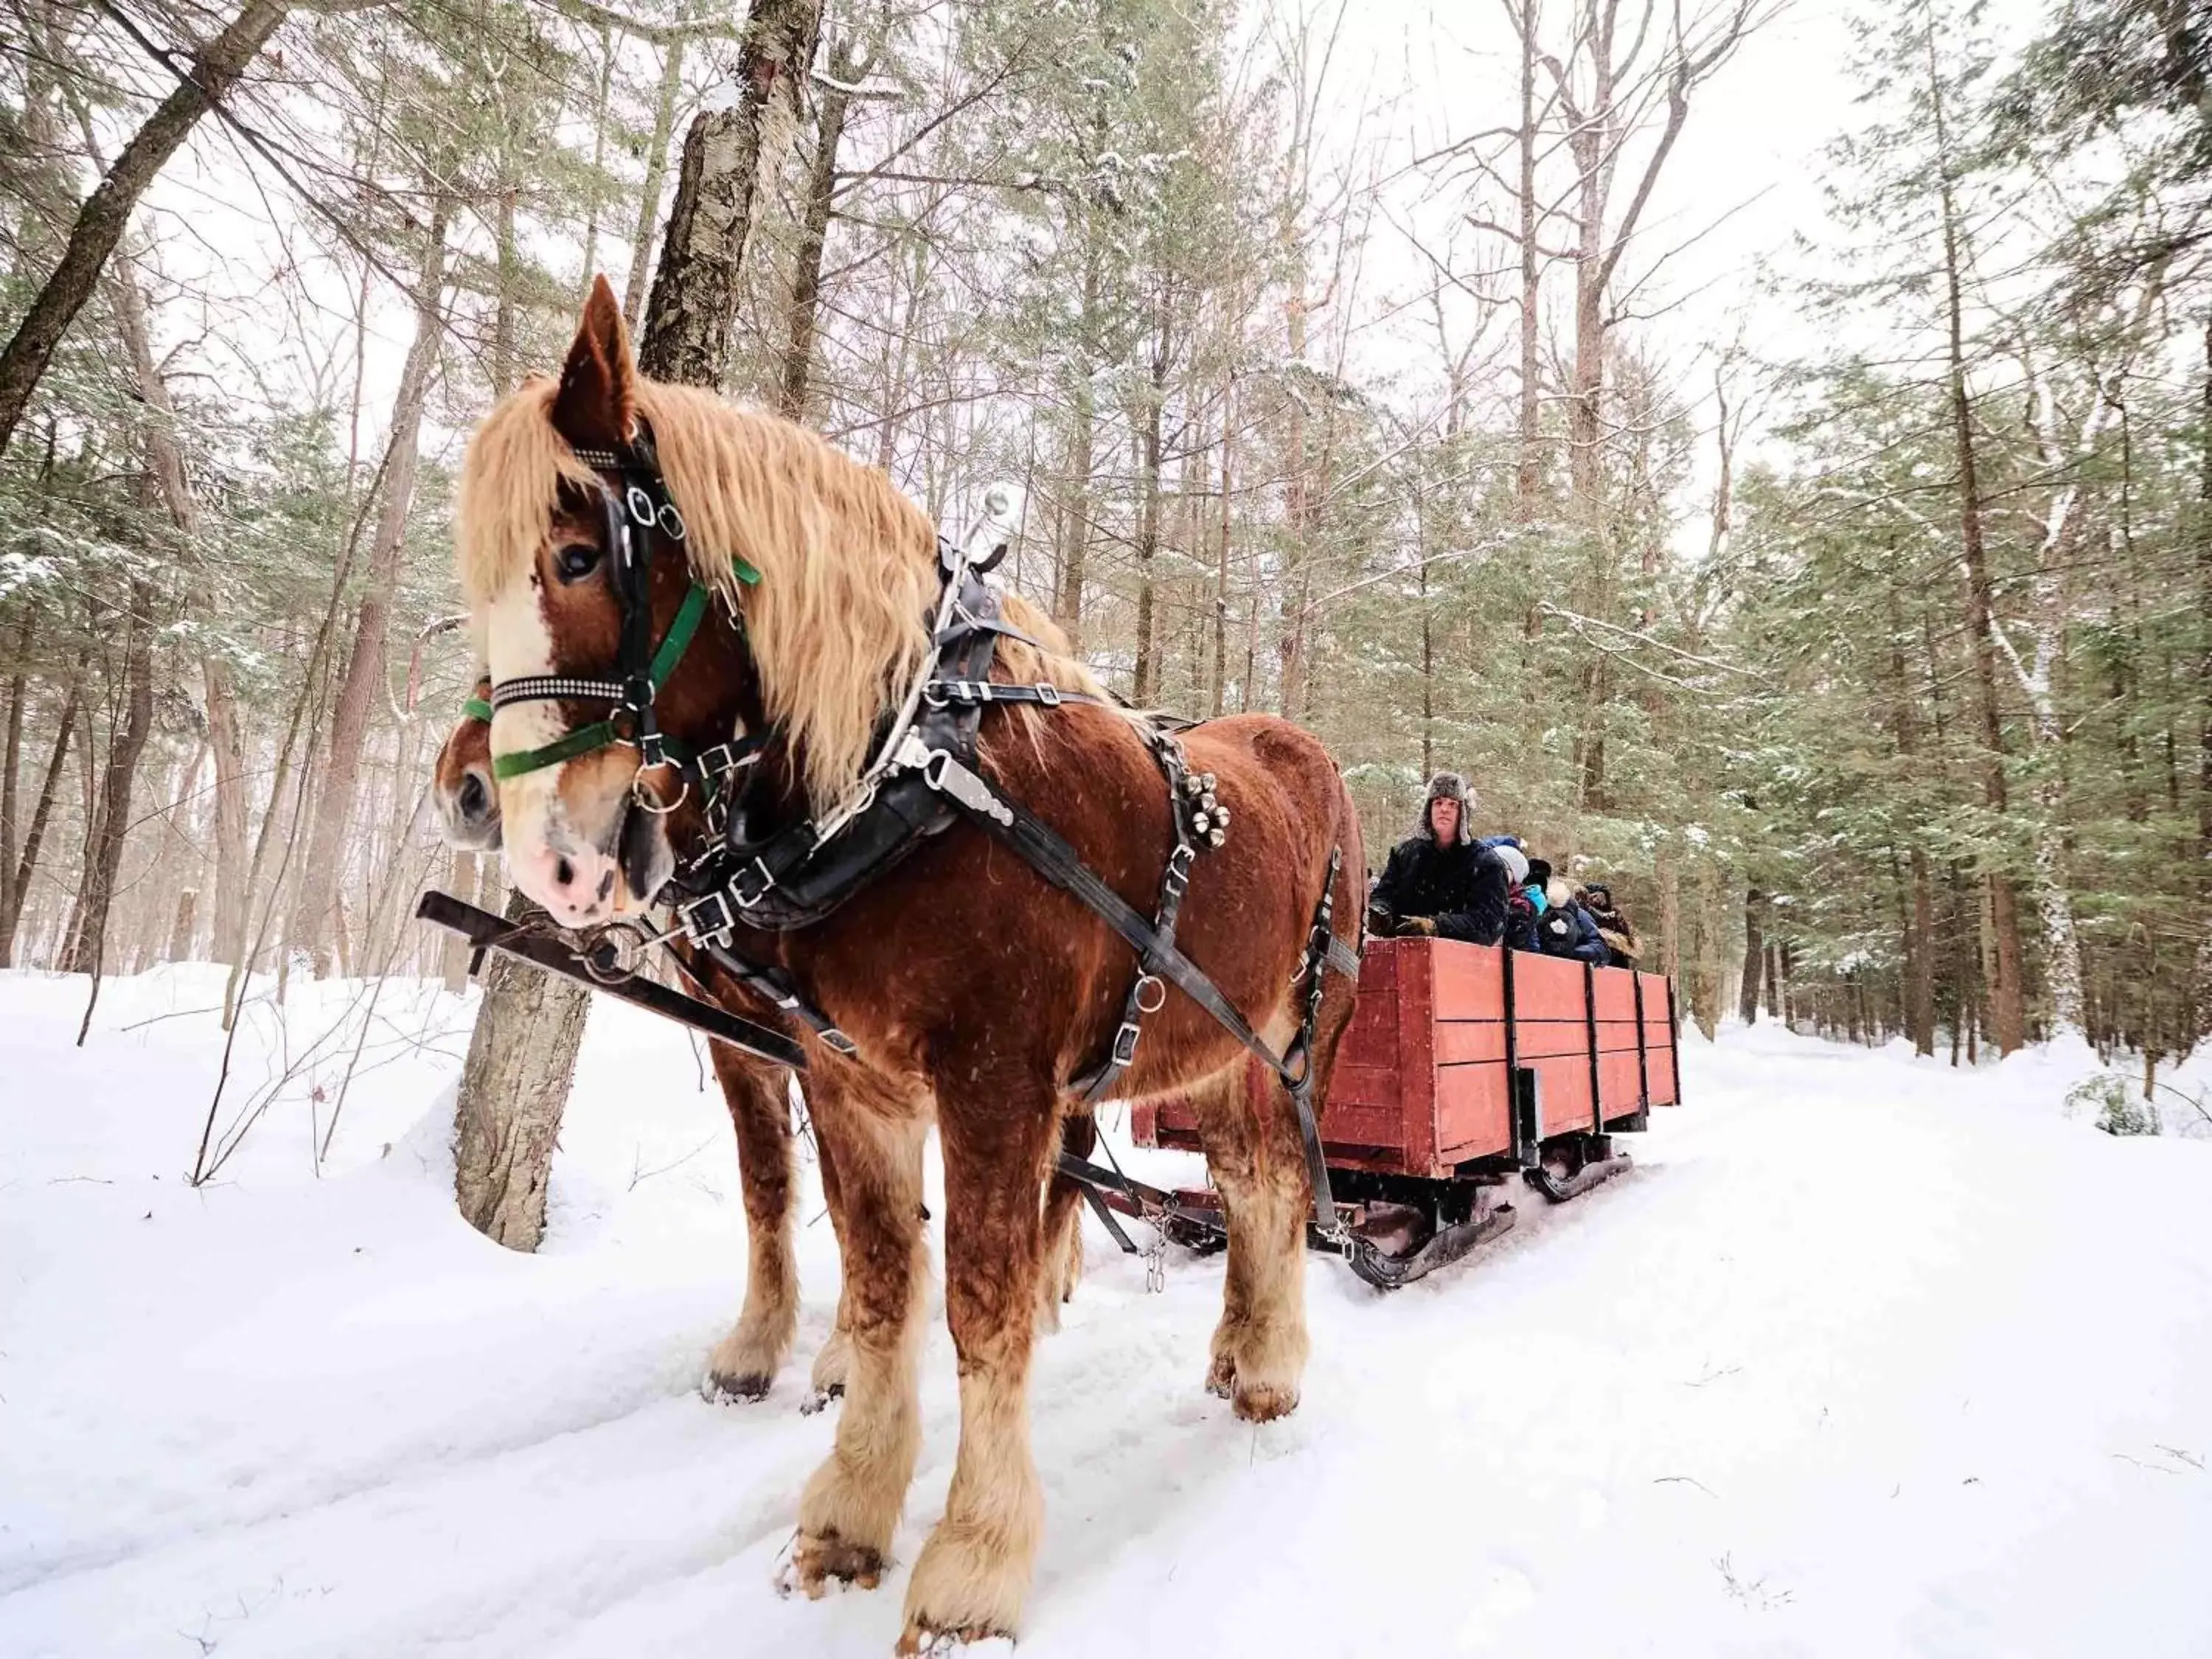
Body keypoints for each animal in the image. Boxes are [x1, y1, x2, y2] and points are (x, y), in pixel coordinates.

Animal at [456, 283, 1354, 1655]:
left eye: (574, 558)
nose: (544, 856)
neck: (912, 779)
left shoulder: (994, 1085)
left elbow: (981, 1303)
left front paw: (975, 1559)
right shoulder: (847, 1077)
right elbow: (879, 1276)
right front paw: (851, 1509)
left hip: (1294, 1037)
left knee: (1283, 1188)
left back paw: (1269, 1366)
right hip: (1206, 1047)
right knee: (1247, 1183)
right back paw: (1242, 1349)